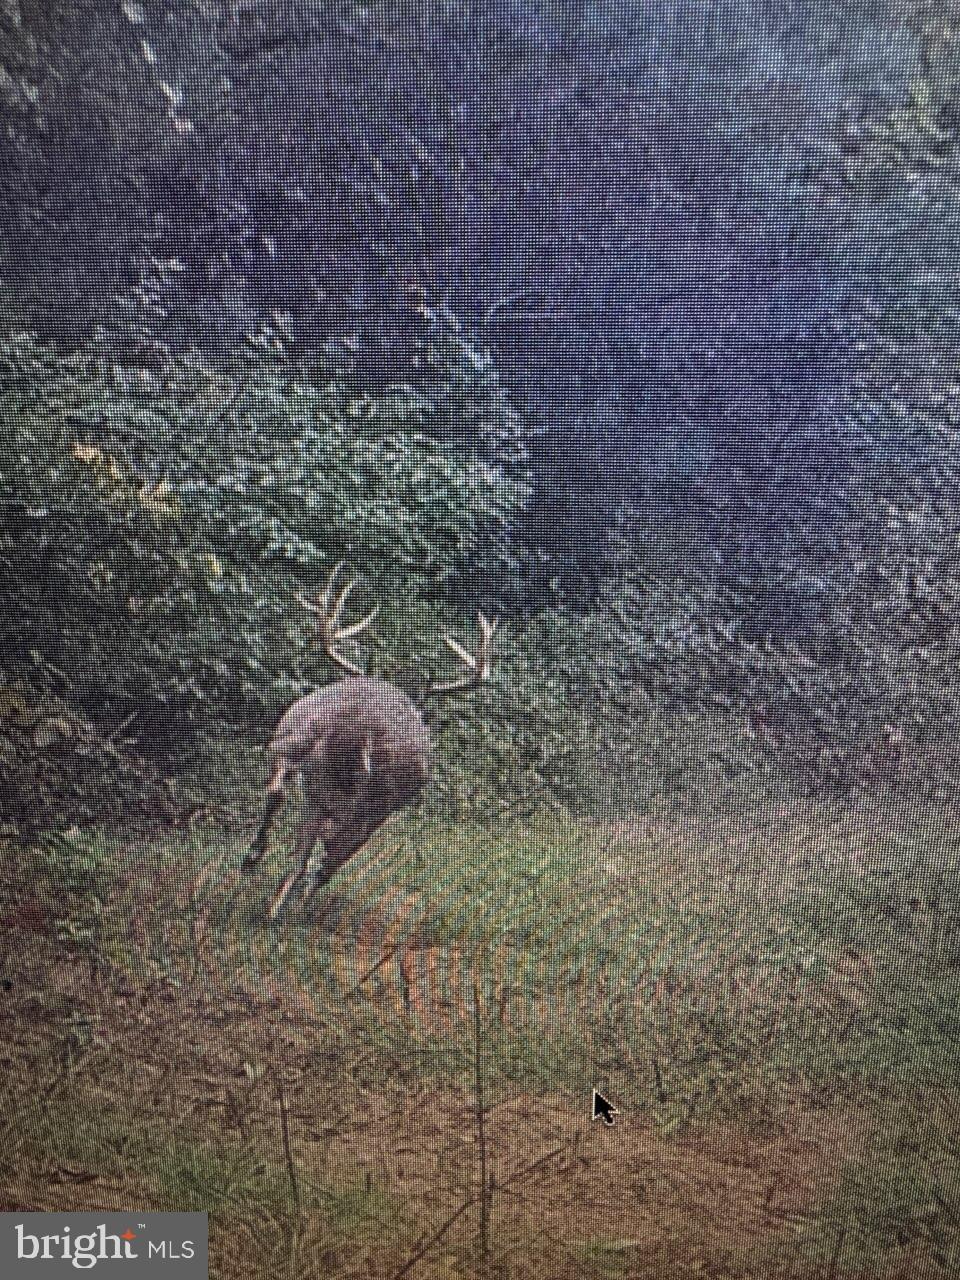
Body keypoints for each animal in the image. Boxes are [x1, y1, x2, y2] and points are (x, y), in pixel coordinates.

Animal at [241, 565, 497, 920]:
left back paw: (265, 883)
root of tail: (360, 729)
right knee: (325, 853)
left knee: (286, 805)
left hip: (298, 736)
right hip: (366, 799)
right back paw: (287, 901)